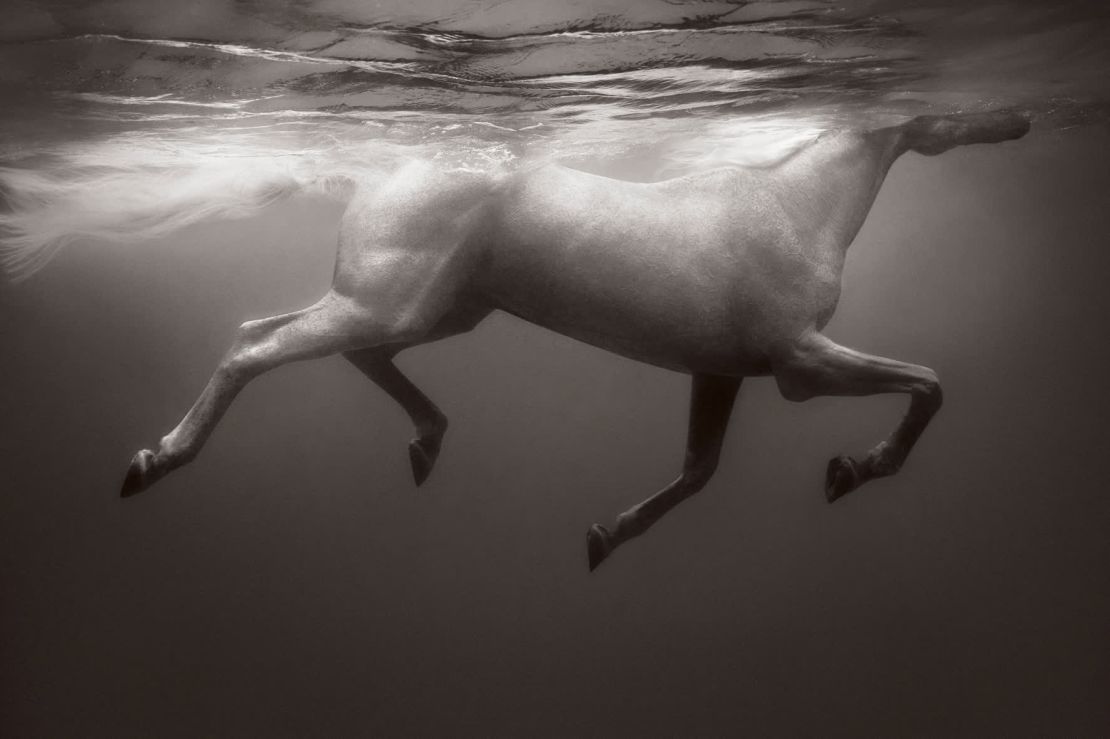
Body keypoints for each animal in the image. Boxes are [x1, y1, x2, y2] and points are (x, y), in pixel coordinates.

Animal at [43, 109, 1030, 568]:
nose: (1018, 121)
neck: (798, 205)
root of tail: (380, 168)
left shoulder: (721, 370)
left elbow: (698, 470)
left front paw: (604, 534)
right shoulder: (798, 364)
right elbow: (930, 382)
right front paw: (854, 468)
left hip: (433, 308)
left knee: (310, 340)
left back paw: (428, 440)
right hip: (394, 302)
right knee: (255, 348)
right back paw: (155, 458)